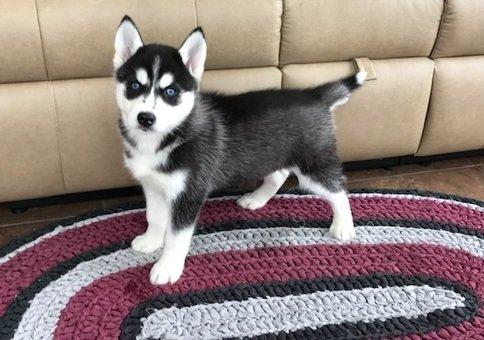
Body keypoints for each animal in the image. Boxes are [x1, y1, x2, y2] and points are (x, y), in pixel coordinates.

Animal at [112, 16, 364, 284]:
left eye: (171, 91)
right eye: (134, 85)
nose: (145, 118)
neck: (166, 137)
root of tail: (313, 94)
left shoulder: (190, 193)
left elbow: (177, 235)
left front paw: (168, 267)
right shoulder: (153, 185)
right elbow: (155, 217)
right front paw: (151, 240)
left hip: (313, 163)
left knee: (338, 189)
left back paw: (343, 226)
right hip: (270, 153)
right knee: (279, 174)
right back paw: (256, 199)